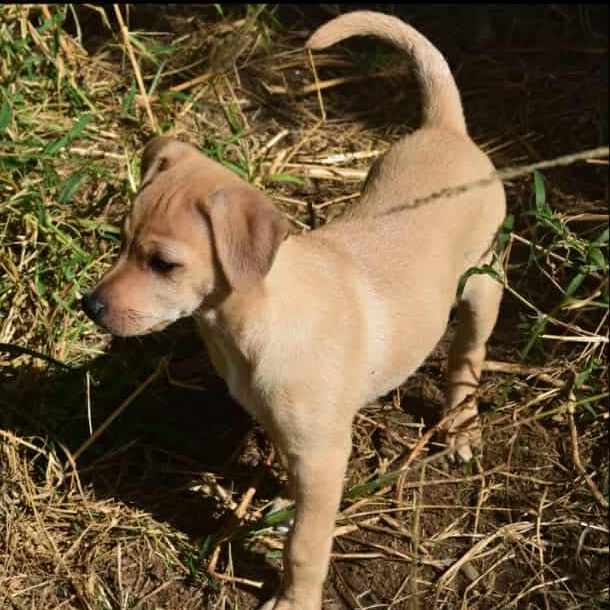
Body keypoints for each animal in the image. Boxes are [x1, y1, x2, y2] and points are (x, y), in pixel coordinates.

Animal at [82, 11, 505, 610]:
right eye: (120, 241)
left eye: (163, 264)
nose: (89, 306)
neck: (255, 318)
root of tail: (447, 130)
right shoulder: (292, 437)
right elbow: (292, 491)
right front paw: (280, 505)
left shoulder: (325, 454)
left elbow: (307, 545)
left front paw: (296, 597)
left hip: (483, 281)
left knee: (468, 353)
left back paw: (462, 427)